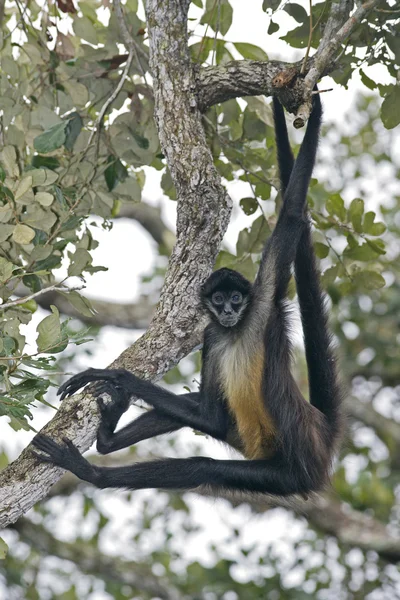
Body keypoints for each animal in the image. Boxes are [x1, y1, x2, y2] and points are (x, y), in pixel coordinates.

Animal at [32, 92, 344, 496]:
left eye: (236, 299)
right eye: (218, 300)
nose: (227, 311)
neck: (234, 331)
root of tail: (318, 432)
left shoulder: (263, 303)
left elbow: (290, 214)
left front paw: (118, 377)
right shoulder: (212, 336)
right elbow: (208, 415)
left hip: (289, 474)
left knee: (201, 467)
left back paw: (93, 472)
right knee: (200, 413)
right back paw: (107, 440)